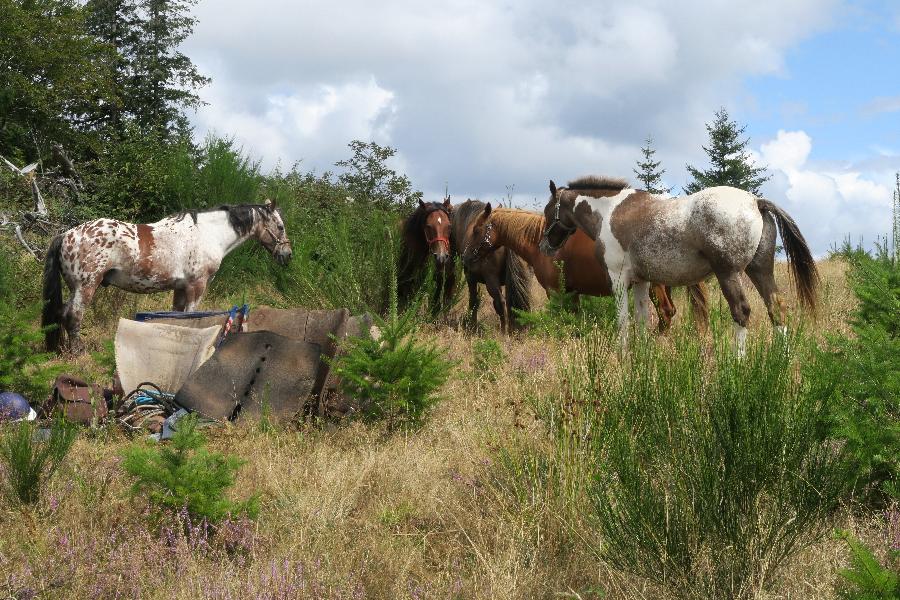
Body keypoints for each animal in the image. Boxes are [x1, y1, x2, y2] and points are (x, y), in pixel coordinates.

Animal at [42, 202, 292, 352]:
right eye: (280, 227)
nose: (287, 255)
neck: (208, 234)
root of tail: (67, 234)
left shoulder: (180, 288)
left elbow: (177, 317)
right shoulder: (196, 286)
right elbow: (191, 317)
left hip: (75, 288)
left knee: (62, 314)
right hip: (85, 286)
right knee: (73, 316)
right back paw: (77, 351)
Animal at [458, 204, 704, 330]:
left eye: (477, 230)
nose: (466, 257)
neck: (540, 241)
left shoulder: (555, 292)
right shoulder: (572, 293)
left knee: (666, 312)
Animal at [536, 176, 820, 354]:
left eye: (549, 211)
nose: (544, 246)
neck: (610, 212)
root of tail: (755, 201)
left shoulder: (618, 279)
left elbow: (623, 321)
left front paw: (623, 355)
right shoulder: (641, 282)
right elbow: (641, 320)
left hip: (729, 273)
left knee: (741, 312)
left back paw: (737, 364)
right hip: (759, 271)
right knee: (776, 309)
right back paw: (781, 360)